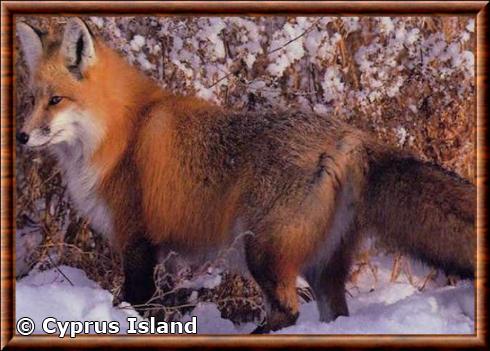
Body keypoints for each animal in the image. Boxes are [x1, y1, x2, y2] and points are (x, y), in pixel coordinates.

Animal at [16, 18, 474, 332]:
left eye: (56, 101)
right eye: (33, 99)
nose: (20, 136)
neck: (120, 132)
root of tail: (349, 135)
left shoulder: (138, 240)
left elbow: (135, 300)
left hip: (263, 249)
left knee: (287, 311)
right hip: (321, 265)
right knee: (333, 314)